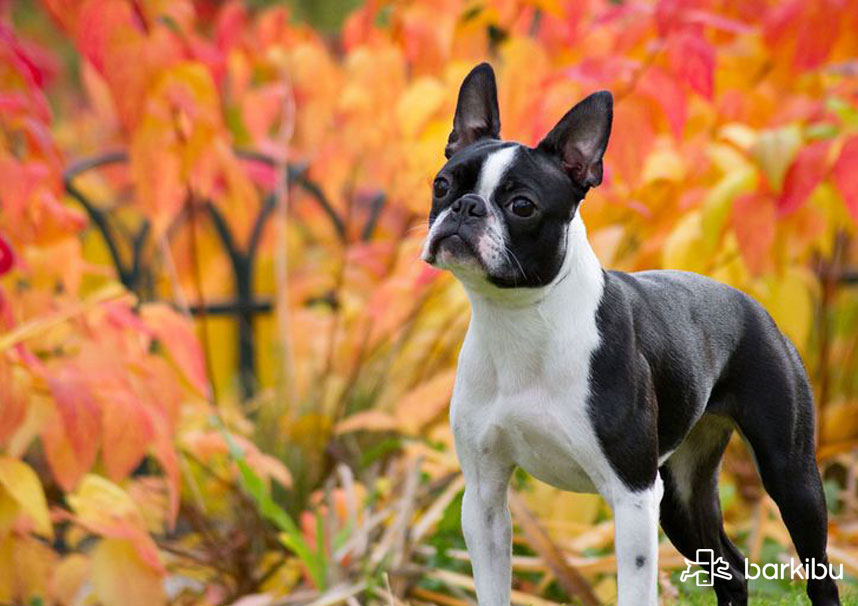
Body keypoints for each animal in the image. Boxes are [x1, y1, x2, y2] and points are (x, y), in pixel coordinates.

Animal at [422, 65, 836, 606]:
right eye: (442, 185)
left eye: (522, 206)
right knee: (731, 566)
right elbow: (493, 588)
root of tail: (751, 303)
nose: (467, 206)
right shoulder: (484, 500)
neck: (520, 318)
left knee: (818, 570)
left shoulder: (632, 494)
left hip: (789, 475)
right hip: (681, 492)